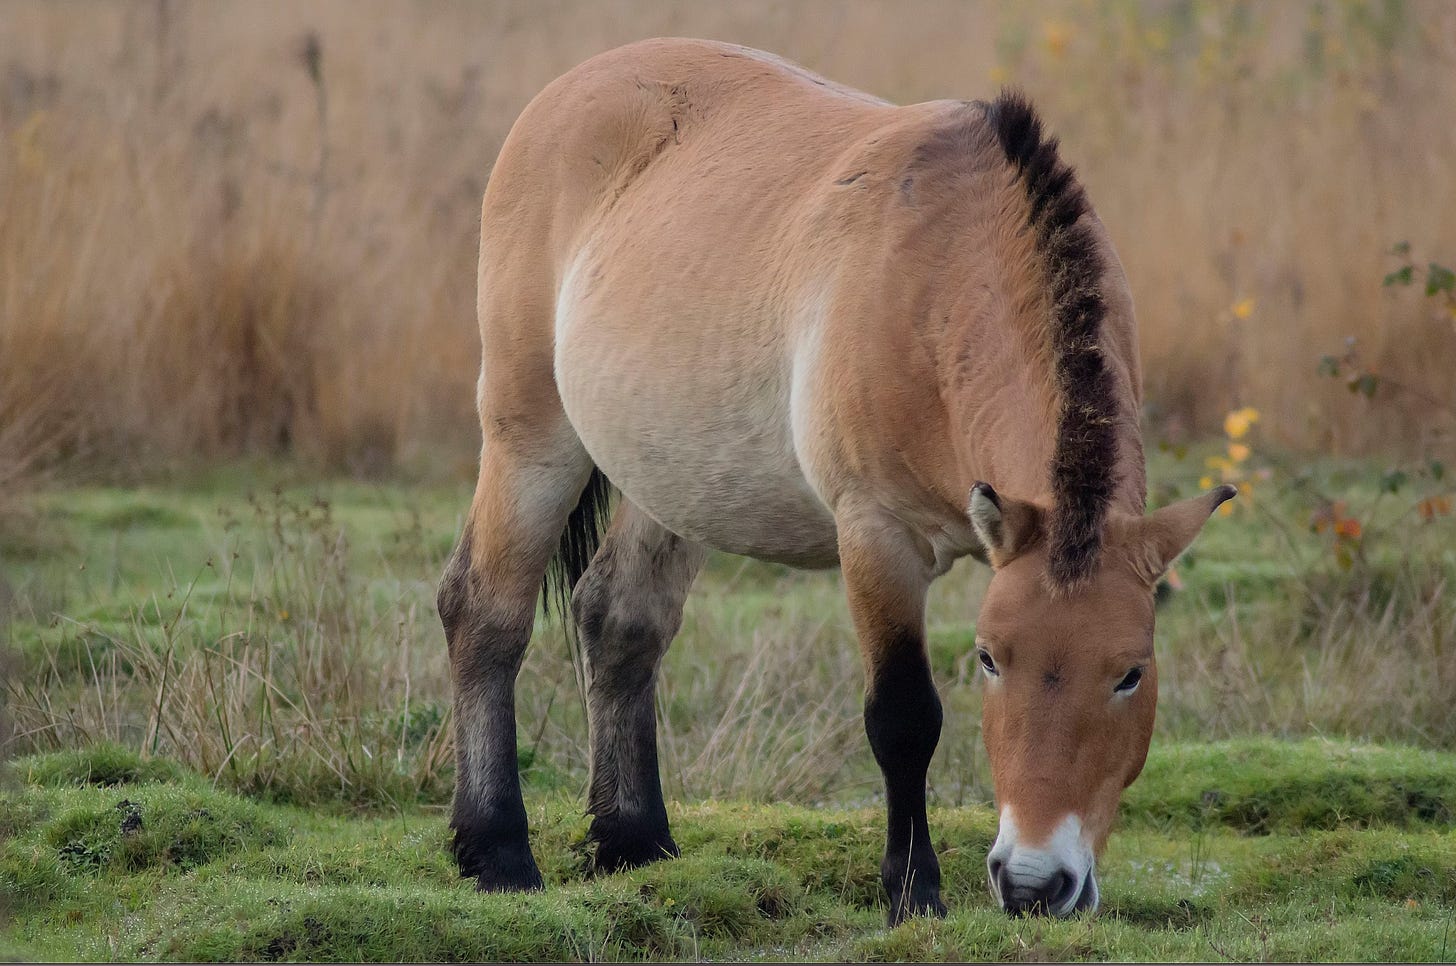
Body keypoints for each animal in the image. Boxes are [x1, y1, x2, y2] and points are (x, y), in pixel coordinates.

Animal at [436, 37, 1234, 926]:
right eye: (990, 659)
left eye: (1131, 672)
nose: (1035, 884)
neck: (944, 276)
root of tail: (569, 90)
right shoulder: (877, 534)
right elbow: (904, 716)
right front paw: (913, 890)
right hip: (530, 436)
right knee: (485, 612)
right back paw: (498, 851)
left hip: (667, 477)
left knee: (619, 621)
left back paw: (634, 845)